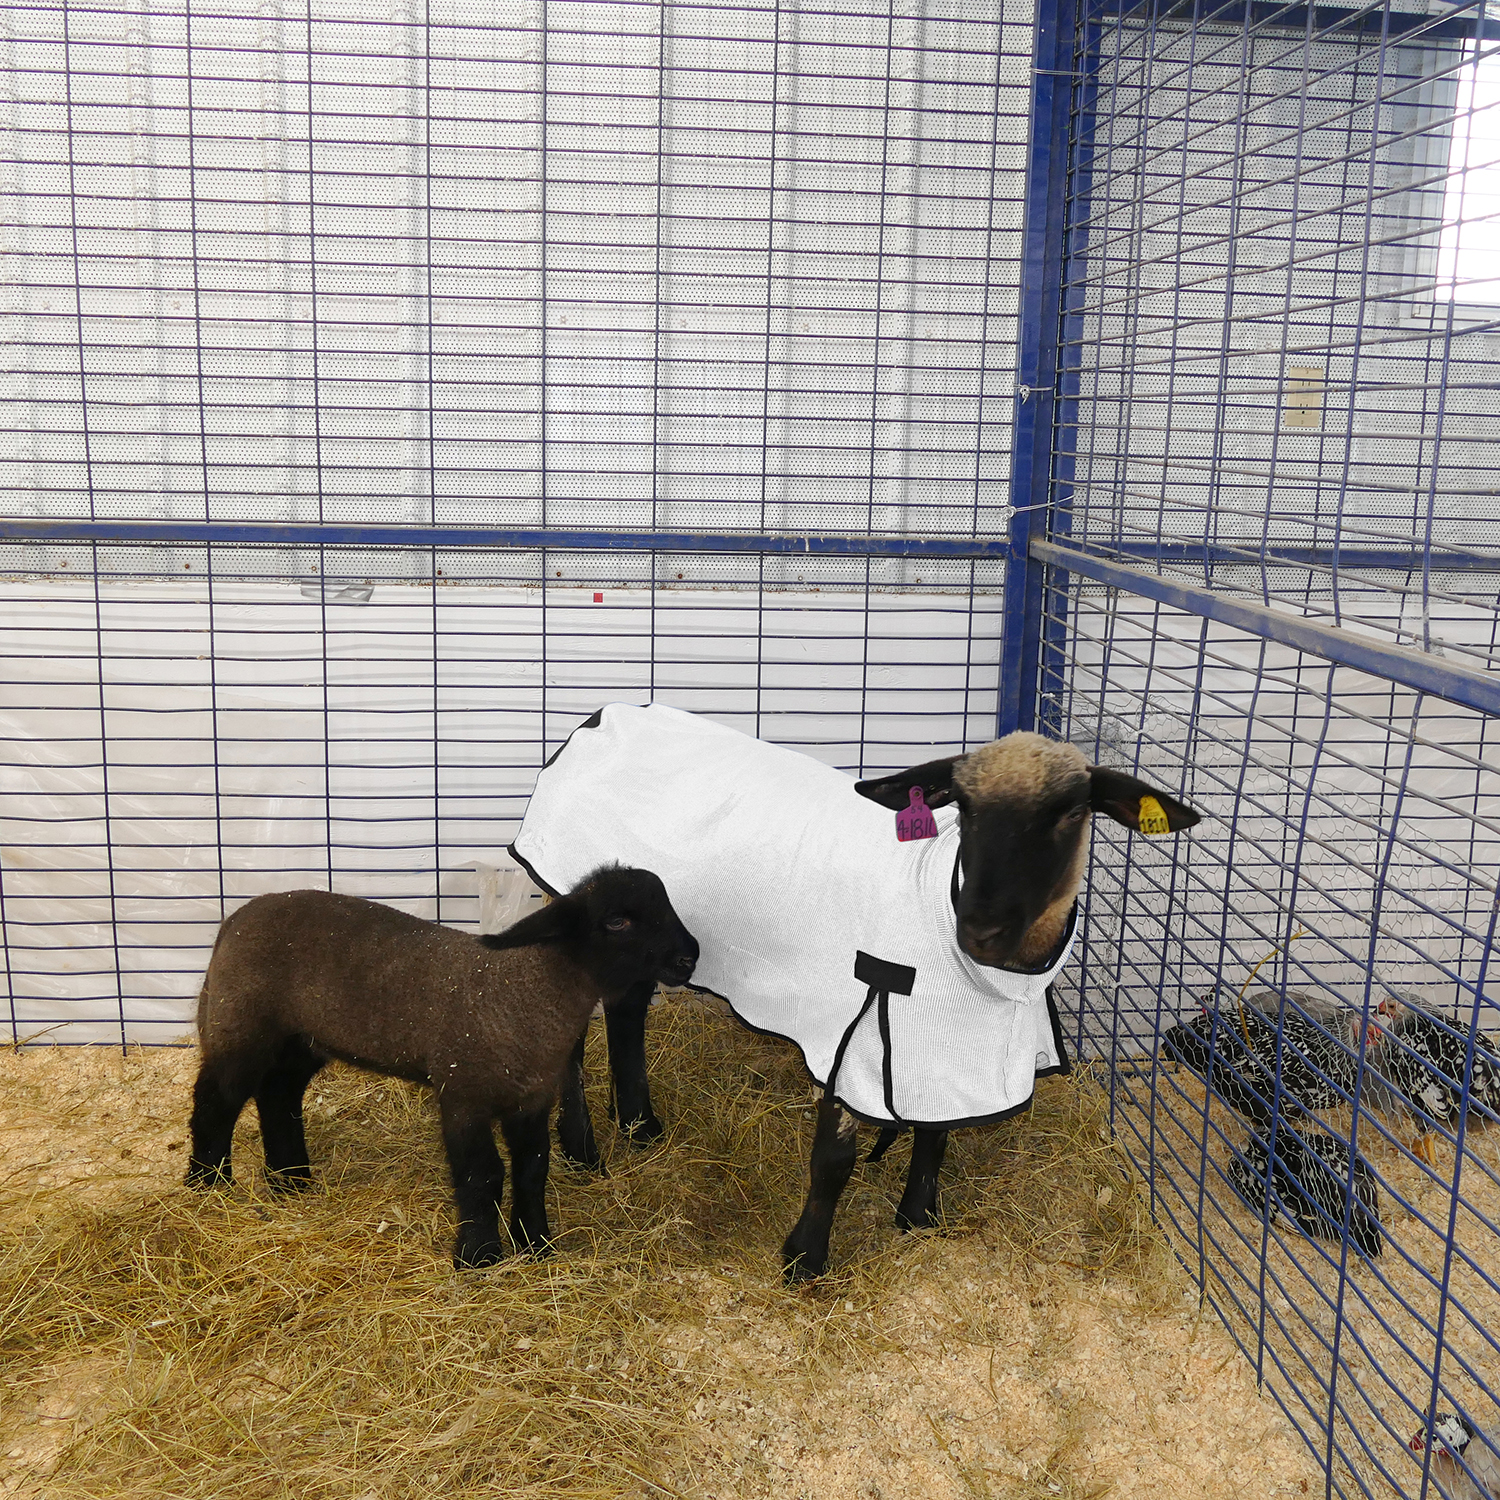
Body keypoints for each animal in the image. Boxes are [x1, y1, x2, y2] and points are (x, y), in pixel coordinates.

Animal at [186, 866, 699, 1267]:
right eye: (617, 921)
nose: (689, 957)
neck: (525, 990)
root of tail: (234, 919)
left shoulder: (530, 1098)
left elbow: (533, 1168)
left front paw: (536, 1247)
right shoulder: (462, 1095)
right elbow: (482, 1174)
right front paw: (478, 1257)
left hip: (302, 1038)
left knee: (278, 1093)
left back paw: (290, 1180)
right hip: (241, 1026)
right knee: (216, 1101)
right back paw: (208, 1186)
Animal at [509, 703, 1201, 1280]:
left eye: (1071, 812)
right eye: (964, 809)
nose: (981, 929)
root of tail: (603, 715)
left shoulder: (938, 1047)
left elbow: (935, 1131)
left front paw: (919, 1218)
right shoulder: (861, 1026)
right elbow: (834, 1158)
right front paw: (804, 1260)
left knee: (627, 1009)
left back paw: (640, 1126)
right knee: (569, 1035)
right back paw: (583, 1151)